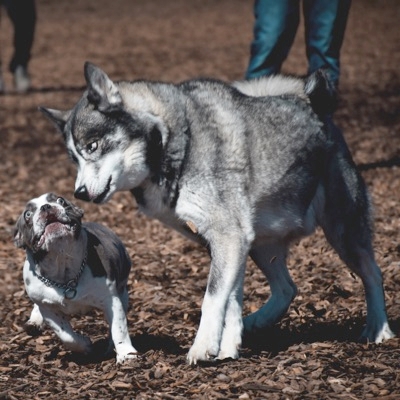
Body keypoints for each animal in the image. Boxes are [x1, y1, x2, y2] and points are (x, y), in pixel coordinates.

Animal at [13, 192, 138, 364]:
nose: (46, 207)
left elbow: (118, 328)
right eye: (28, 214)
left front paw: (126, 354)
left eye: (60, 200)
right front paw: (85, 346)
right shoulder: (49, 310)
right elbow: (66, 335)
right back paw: (34, 321)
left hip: (122, 293)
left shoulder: (111, 300)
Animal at [40, 63, 394, 366]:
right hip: (260, 245)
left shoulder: (228, 237)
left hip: (342, 230)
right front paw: (228, 347)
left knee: (372, 274)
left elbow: (212, 298)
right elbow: (231, 297)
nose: (78, 193)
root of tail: (309, 101)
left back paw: (379, 329)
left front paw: (203, 347)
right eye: (74, 158)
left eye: (92, 146)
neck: (174, 143)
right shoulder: (224, 243)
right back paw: (257, 322)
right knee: (286, 288)